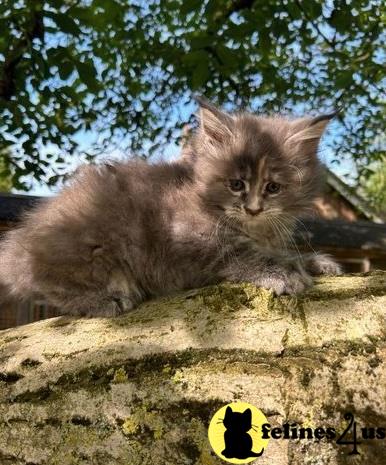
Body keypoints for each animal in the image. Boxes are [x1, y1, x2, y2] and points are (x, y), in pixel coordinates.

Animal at [0, 97, 344, 316]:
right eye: (236, 184)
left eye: (273, 188)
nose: (253, 209)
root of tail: (20, 244)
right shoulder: (189, 240)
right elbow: (240, 254)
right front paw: (282, 272)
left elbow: (279, 250)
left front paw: (314, 262)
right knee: (44, 286)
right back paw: (106, 299)